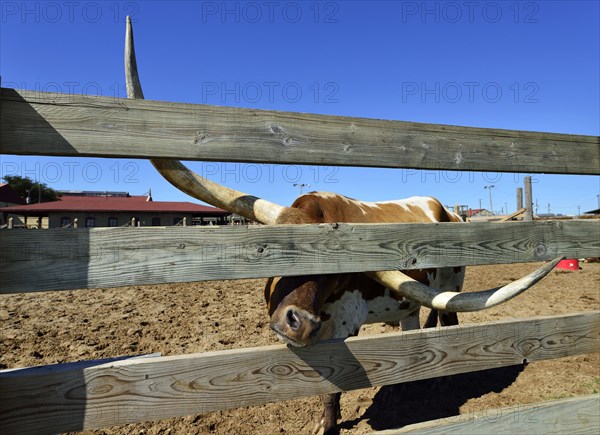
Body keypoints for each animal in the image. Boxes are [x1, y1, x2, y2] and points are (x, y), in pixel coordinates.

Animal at [123, 18, 564, 435]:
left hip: (453, 281)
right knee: (414, 328)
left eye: (339, 276)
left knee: (447, 322)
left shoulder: (340, 329)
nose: (300, 324)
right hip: (410, 302)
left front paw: (327, 424)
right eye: (287, 251)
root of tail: (449, 212)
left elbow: (332, 385)